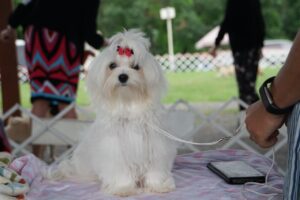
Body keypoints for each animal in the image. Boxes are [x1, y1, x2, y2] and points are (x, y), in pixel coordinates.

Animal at [46, 28, 178, 196]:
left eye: (136, 66)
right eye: (112, 65)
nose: (123, 76)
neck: (128, 104)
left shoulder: (155, 144)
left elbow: (156, 169)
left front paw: (158, 186)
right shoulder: (113, 149)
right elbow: (119, 171)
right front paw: (123, 188)